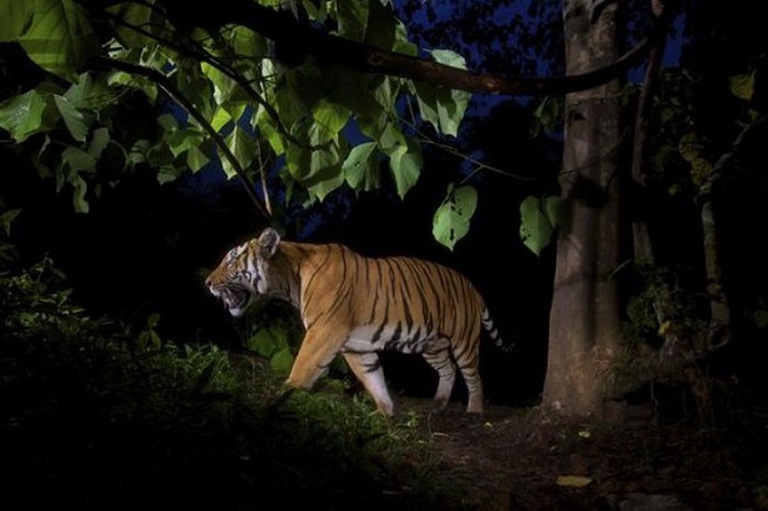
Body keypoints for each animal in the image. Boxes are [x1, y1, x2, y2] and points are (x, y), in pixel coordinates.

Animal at [205, 227, 511, 416]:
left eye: (231, 260)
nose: (207, 283)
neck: (289, 279)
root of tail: (472, 286)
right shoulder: (355, 345)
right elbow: (373, 378)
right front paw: (385, 413)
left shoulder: (324, 331)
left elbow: (303, 366)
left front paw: (283, 394)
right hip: (431, 344)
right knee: (447, 369)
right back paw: (439, 404)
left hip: (463, 341)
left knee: (474, 376)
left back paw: (474, 411)